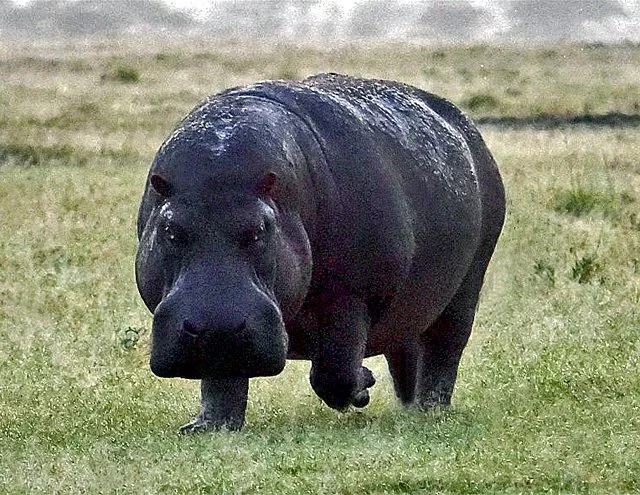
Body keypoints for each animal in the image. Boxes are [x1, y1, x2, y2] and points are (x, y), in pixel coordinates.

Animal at [135, 73, 505, 431]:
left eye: (259, 230)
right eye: (170, 230)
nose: (215, 323)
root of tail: (466, 127)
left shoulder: (351, 295)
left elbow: (334, 373)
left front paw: (364, 386)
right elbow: (222, 377)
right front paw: (209, 427)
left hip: (465, 287)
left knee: (444, 349)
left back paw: (430, 410)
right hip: (411, 305)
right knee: (406, 348)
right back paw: (409, 408)